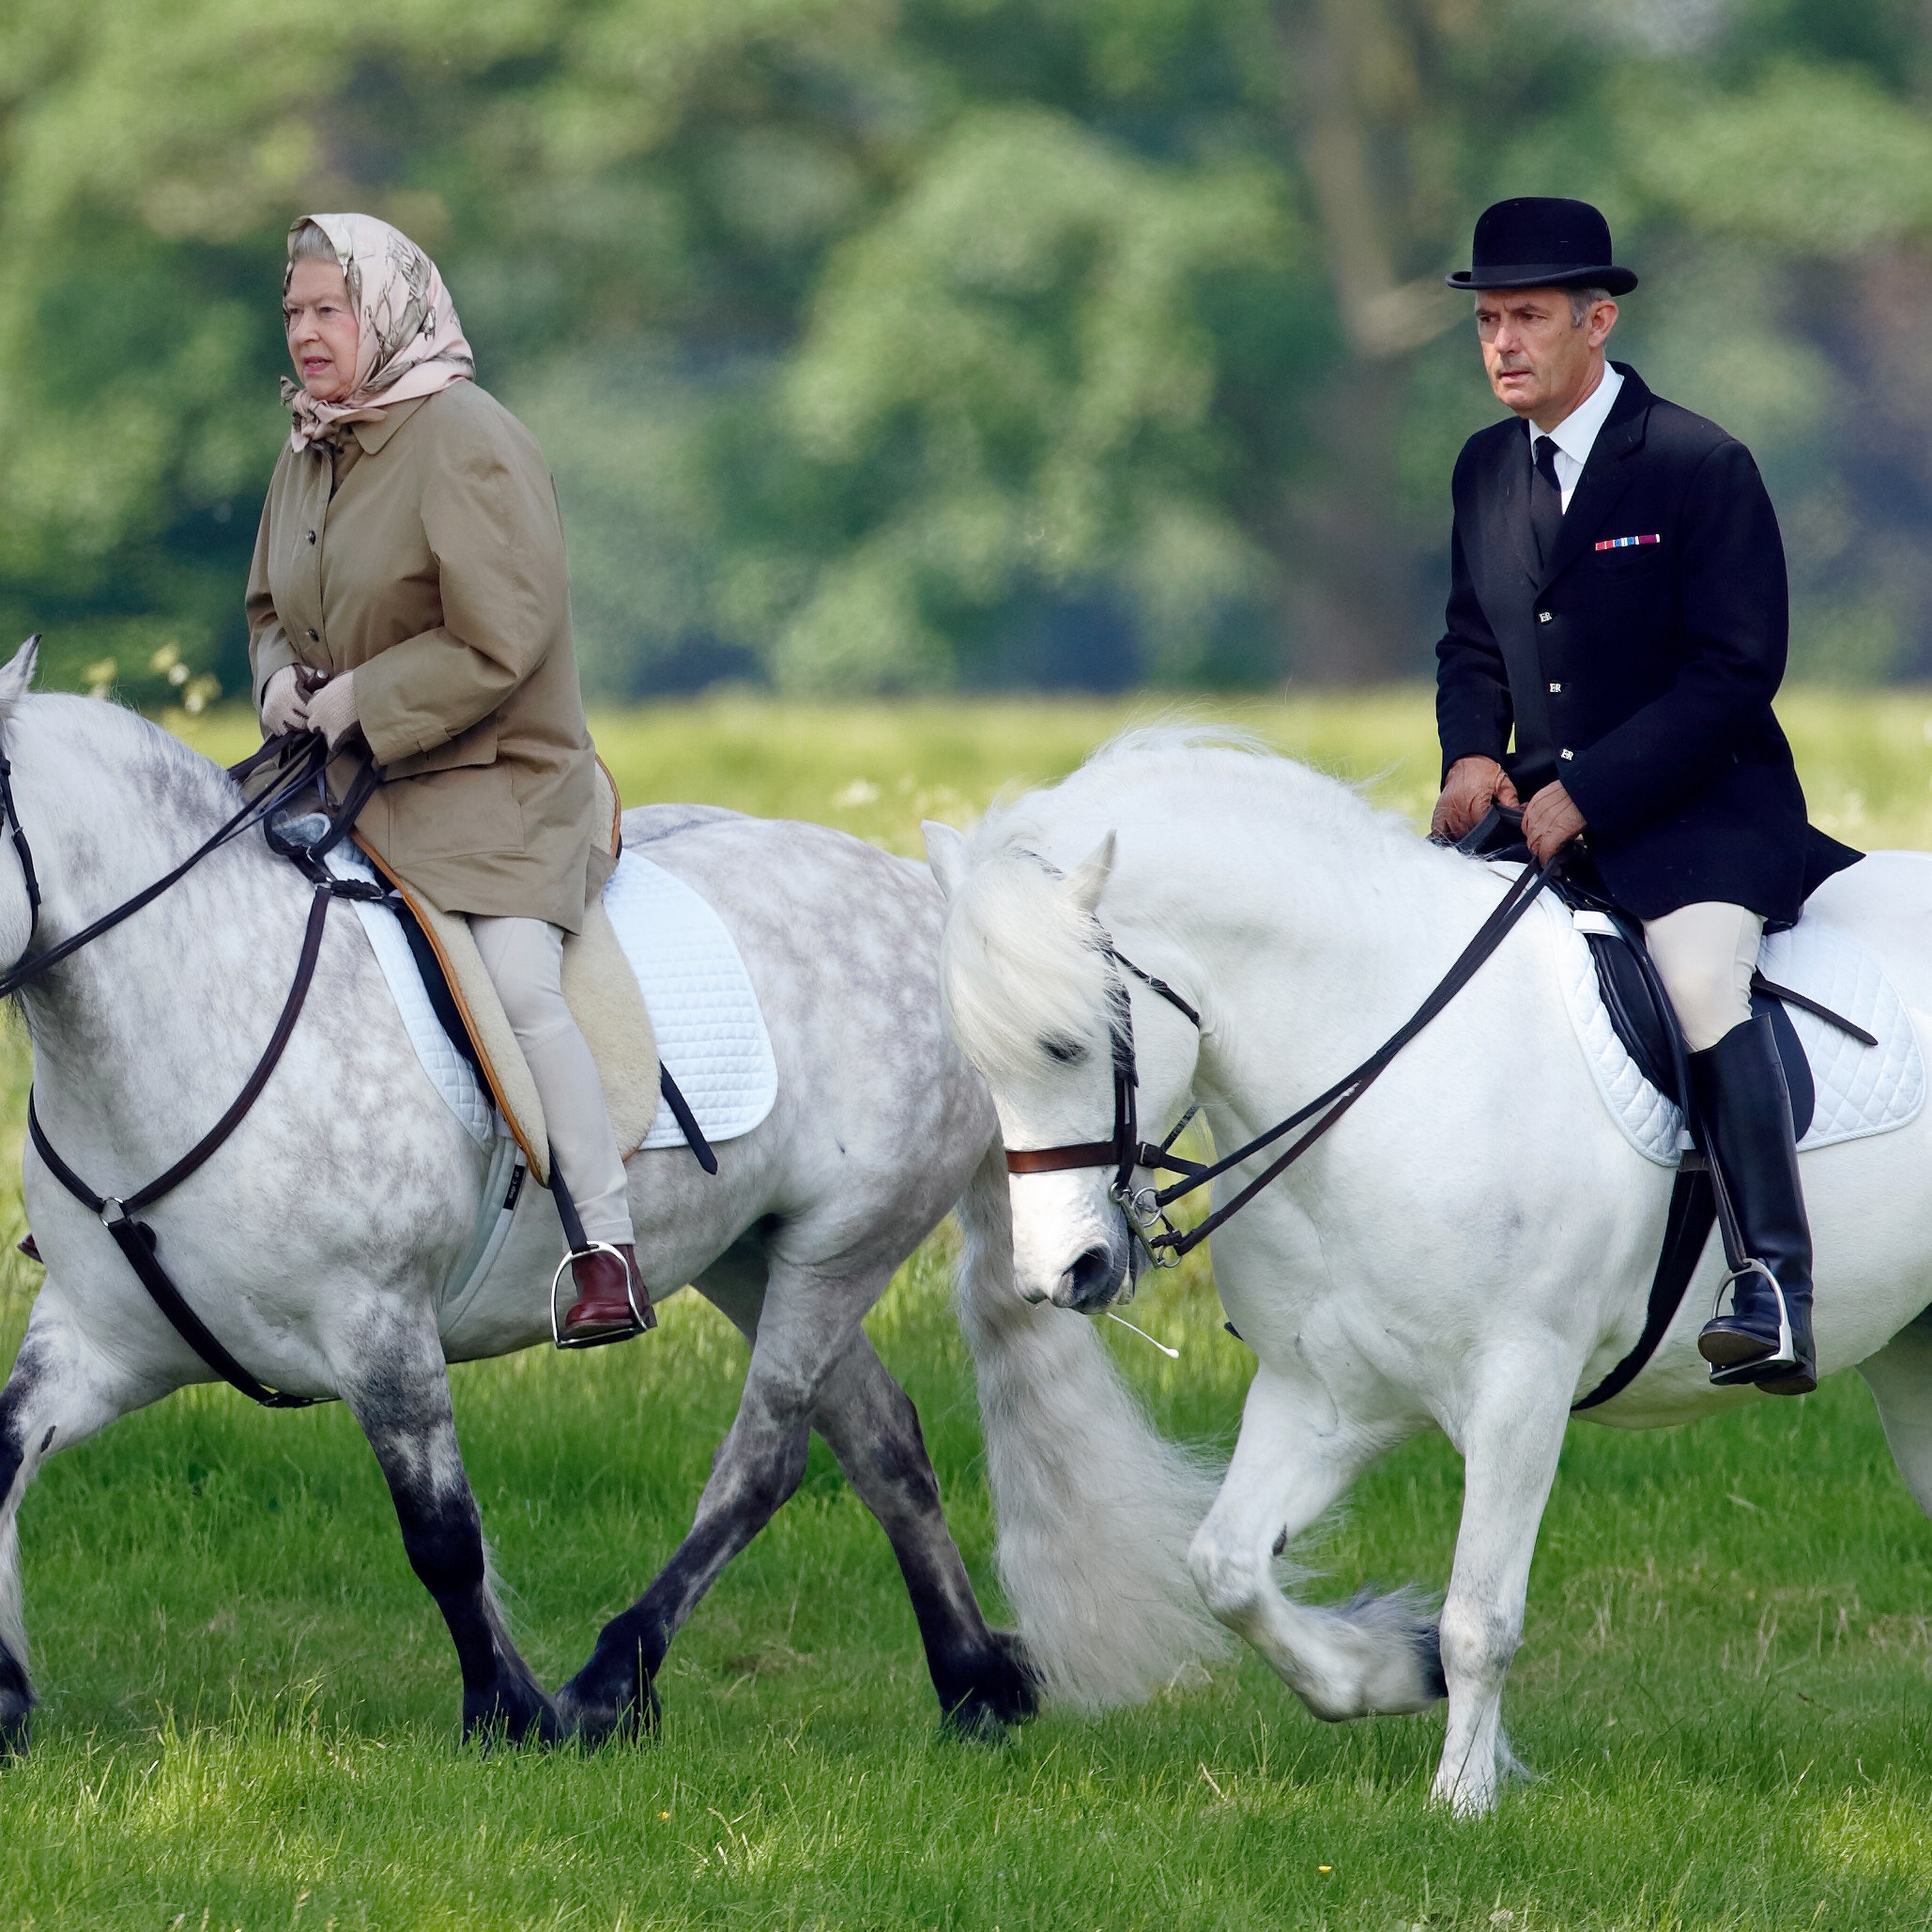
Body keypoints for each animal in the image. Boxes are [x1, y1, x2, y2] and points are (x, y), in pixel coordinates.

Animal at [0, 641, 1043, 1761]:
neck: (192, 1015)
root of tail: (920, 896)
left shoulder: (380, 1325)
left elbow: (442, 1535)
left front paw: (506, 1709)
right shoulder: (101, 1334)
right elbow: (3, 1455)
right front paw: (8, 1695)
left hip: (842, 1247)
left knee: (767, 1456)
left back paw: (611, 1683)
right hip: (756, 1256)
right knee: (881, 1438)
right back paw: (975, 1682)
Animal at [923, 726, 1932, 1808]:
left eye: (1069, 1046)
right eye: (979, 1062)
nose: (1058, 1276)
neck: (1376, 1065)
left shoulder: (1519, 1387)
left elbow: (1480, 1618)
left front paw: (1462, 1800)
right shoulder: (1324, 1393)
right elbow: (1227, 1571)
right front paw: (1386, 1672)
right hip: (1911, 1356)